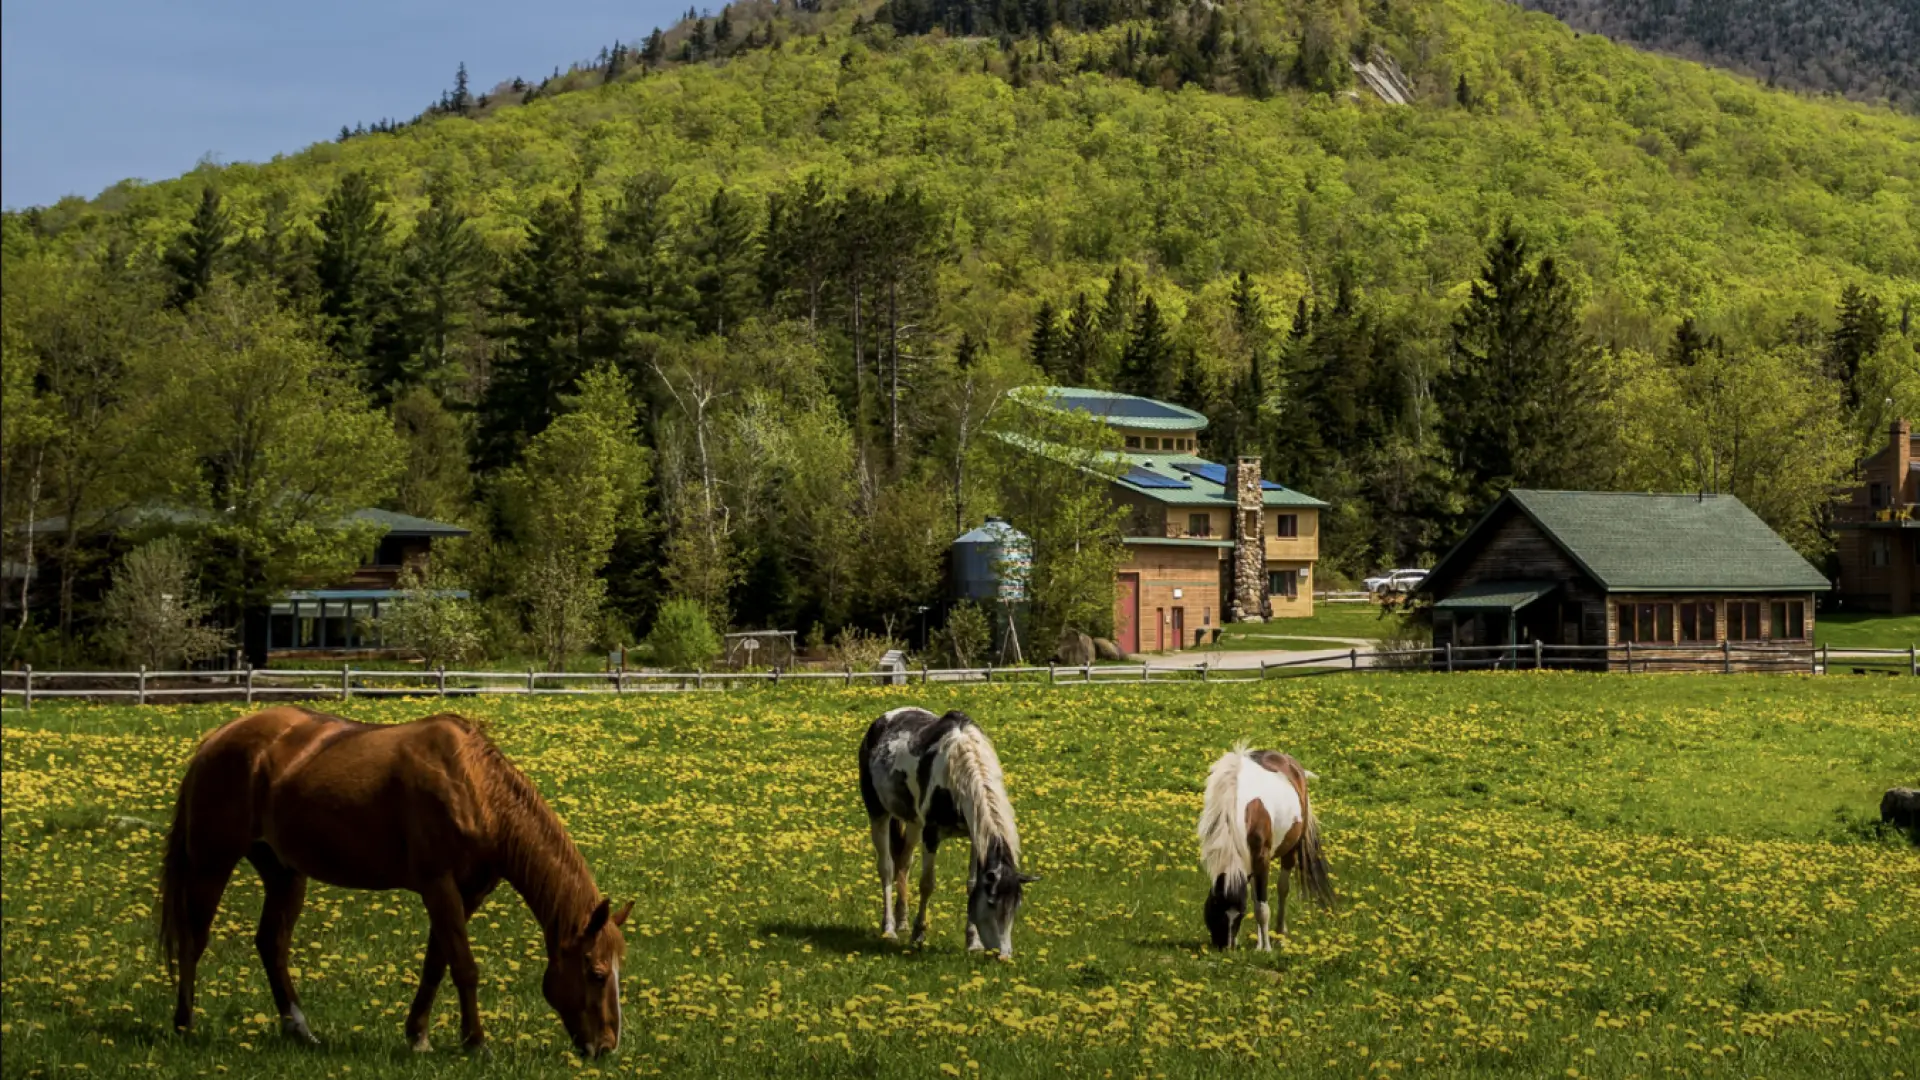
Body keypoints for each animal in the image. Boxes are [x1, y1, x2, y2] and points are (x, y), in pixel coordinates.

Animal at [158, 706, 633, 1057]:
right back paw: (184, 1025)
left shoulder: (469, 892)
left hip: (284, 873)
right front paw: (475, 1043)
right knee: (193, 940)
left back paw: (300, 1030)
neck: (475, 788)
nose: (607, 1047)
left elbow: (437, 963)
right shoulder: (438, 884)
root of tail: (217, 738)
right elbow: (464, 966)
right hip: (212, 862)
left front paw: (418, 1035)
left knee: (271, 944)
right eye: (595, 973)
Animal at [857, 708, 1038, 959]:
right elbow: (927, 883)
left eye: (1016, 905)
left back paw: (902, 922)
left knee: (904, 862)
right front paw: (918, 935)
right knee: (886, 868)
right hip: (879, 813)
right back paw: (890, 929)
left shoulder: (976, 837)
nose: (1003, 955)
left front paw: (973, 942)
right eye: (992, 902)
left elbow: (972, 884)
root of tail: (881, 721)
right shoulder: (931, 834)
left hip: (913, 823)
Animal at [1197, 743, 1334, 950]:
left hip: (1290, 850)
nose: (1225, 947)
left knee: (1282, 889)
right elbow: (1255, 899)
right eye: (1214, 907)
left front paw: (1267, 949)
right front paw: (1259, 944)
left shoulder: (1261, 856)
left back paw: (1279, 934)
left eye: (1240, 914)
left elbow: (1262, 907)